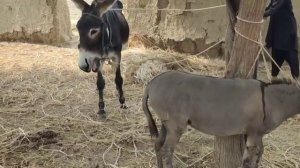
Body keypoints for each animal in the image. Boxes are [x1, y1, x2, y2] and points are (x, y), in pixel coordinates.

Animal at [143, 71, 300, 168]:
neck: (271, 99)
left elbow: (259, 154)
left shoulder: (253, 133)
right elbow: (248, 160)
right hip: (176, 126)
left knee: (158, 145)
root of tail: (151, 83)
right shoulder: (254, 133)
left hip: (166, 123)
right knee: (167, 150)